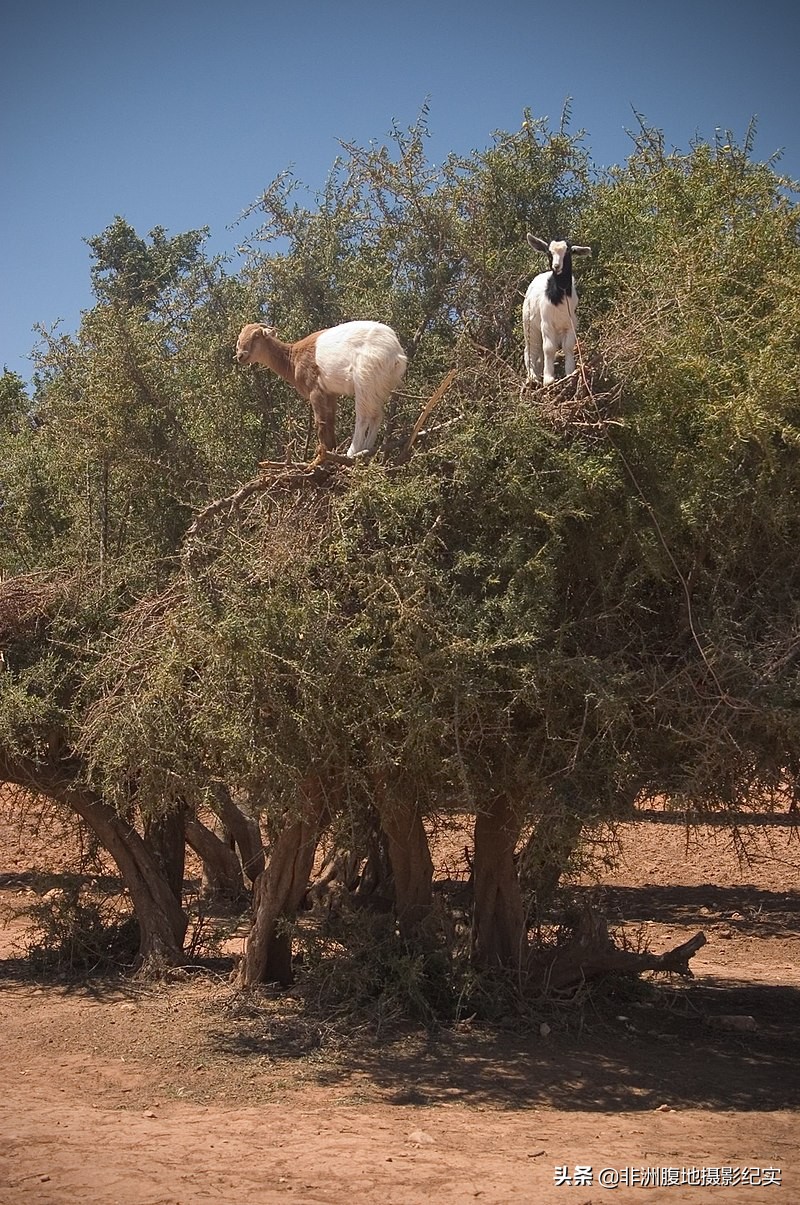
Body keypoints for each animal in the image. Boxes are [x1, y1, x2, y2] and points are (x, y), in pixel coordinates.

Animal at [522, 234, 590, 385]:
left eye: (569, 251)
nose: (556, 266)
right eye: (549, 253)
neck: (559, 296)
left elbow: (568, 346)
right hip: (529, 325)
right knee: (531, 349)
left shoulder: (570, 323)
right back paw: (533, 378)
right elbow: (549, 349)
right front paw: (548, 379)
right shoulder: (546, 323)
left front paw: (570, 372)